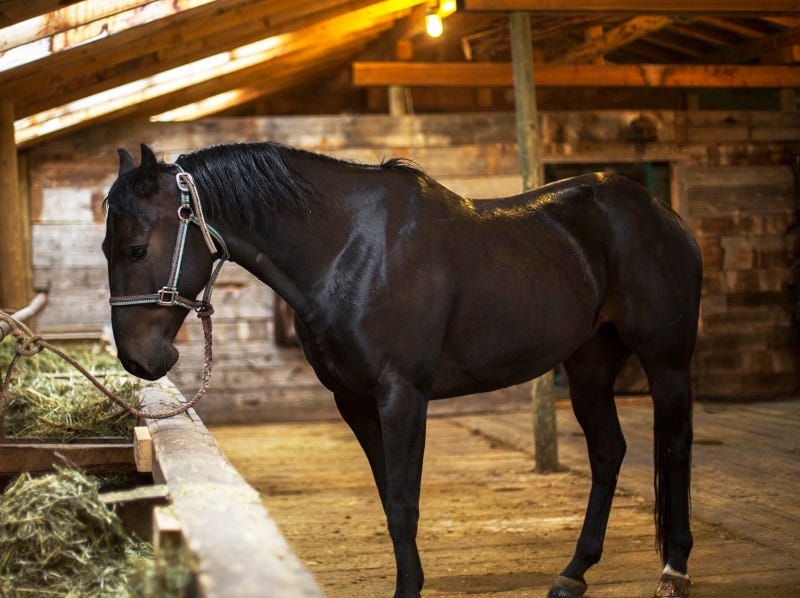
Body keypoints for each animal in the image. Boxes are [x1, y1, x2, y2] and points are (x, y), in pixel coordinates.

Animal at [103, 142, 701, 598]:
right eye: (107, 247)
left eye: (136, 249)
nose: (139, 359)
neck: (349, 249)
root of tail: (663, 215)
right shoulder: (356, 401)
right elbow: (389, 497)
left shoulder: (402, 395)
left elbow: (404, 501)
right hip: (589, 365)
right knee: (608, 453)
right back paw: (574, 573)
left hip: (667, 362)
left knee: (674, 448)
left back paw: (674, 570)